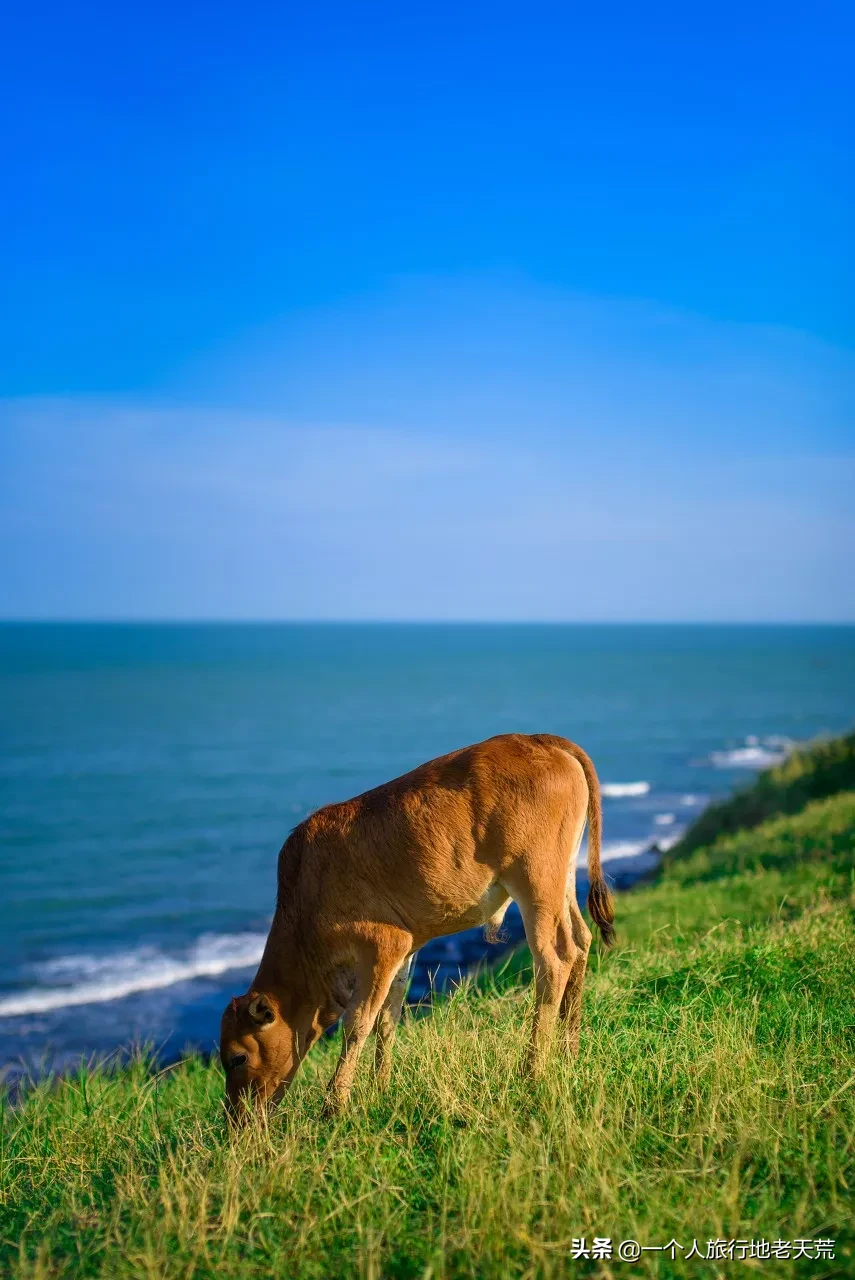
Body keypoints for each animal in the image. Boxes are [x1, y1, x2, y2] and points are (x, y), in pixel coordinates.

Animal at [217, 737, 611, 1116]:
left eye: (237, 1058)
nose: (237, 1120)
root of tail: (544, 740)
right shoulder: (404, 951)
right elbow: (387, 1018)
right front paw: (380, 1088)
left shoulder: (383, 943)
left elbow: (358, 1023)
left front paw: (334, 1106)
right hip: (561, 880)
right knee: (581, 942)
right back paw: (569, 1054)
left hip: (535, 882)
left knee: (554, 960)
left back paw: (531, 1071)